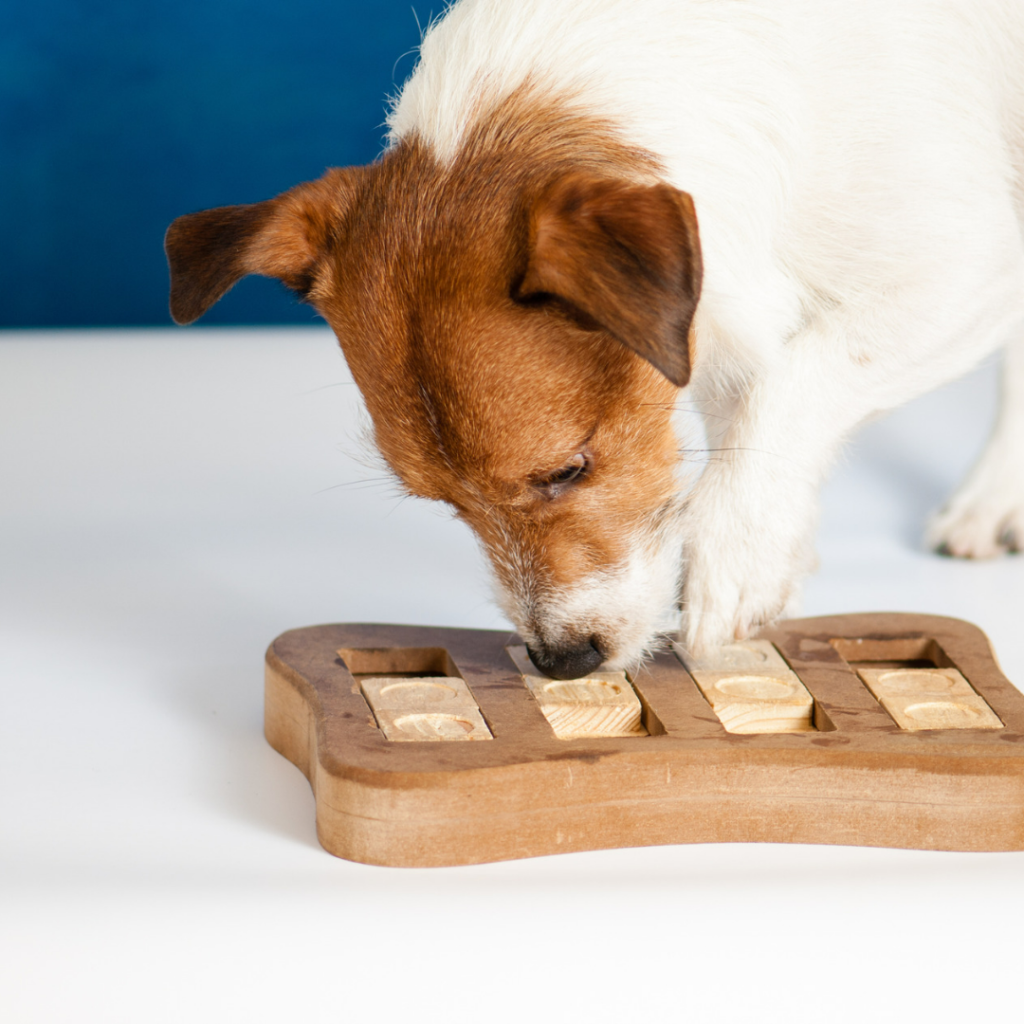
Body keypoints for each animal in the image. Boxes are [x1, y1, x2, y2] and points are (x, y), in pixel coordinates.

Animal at [163, 0, 1024, 679]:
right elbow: (745, 416)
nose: (562, 662)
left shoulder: (969, 269)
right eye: (444, 503)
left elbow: (795, 385)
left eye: (568, 470)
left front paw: (738, 552)